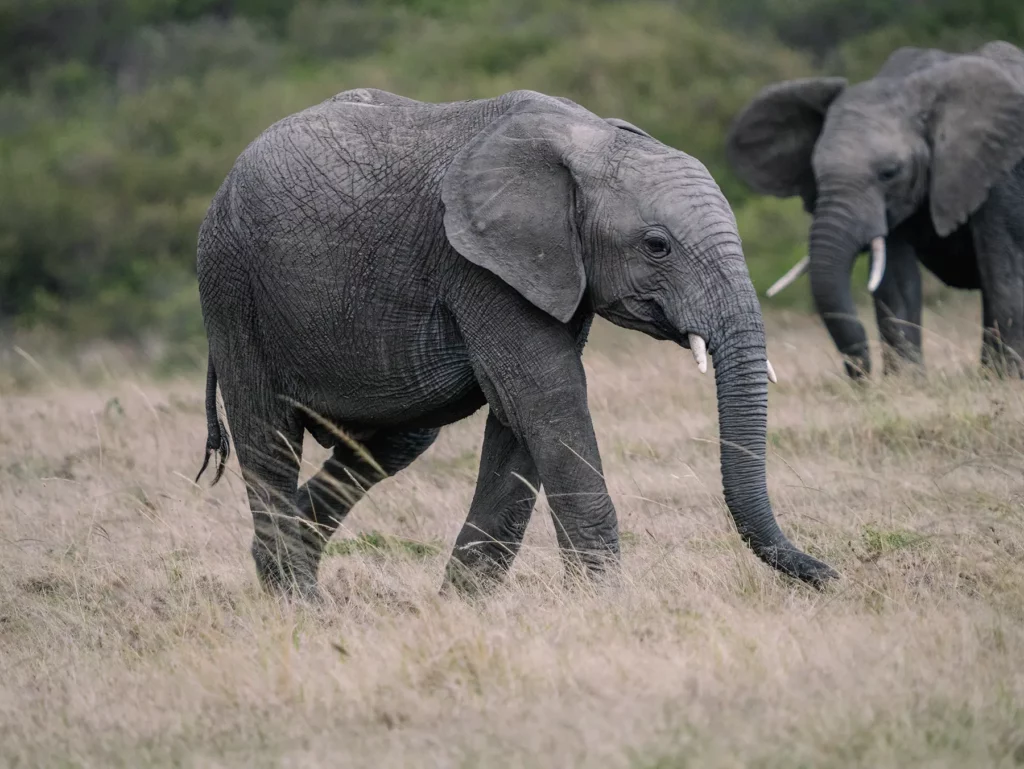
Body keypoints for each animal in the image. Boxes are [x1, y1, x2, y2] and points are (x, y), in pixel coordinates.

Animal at [194, 86, 836, 600]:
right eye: (657, 246)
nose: (831, 575)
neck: (590, 139)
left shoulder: (548, 270)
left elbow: (522, 415)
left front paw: (463, 609)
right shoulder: (476, 263)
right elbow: (547, 397)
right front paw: (605, 607)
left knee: (393, 441)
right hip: (231, 288)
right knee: (268, 435)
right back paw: (300, 605)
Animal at [725, 41, 1024, 379]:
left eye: (889, 173)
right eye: (815, 172)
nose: (861, 375)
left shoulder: (1002, 172)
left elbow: (1003, 272)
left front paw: (1002, 379)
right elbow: (896, 284)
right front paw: (905, 382)